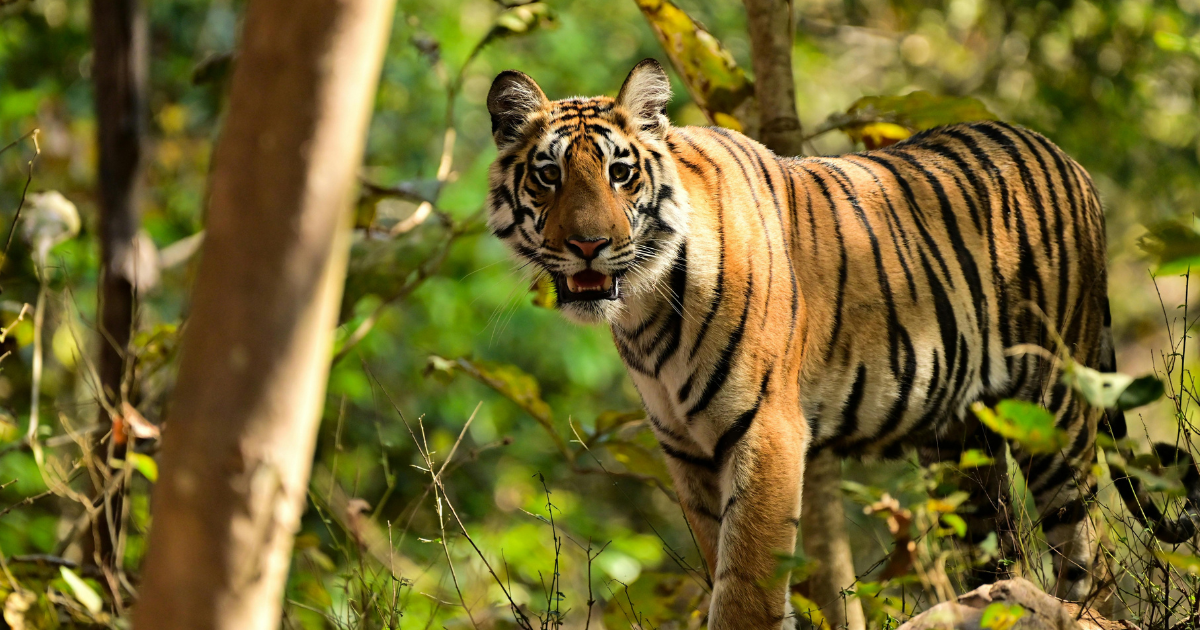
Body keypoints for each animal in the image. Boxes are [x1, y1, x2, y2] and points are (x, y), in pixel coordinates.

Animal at [484, 58, 1200, 629]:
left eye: (621, 172)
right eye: (548, 175)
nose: (588, 244)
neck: (645, 307)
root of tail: (1070, 161)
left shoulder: (766, 429)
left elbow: (746, 584)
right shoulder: (685, 448)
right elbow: (723, 563)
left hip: (1053, 413)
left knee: (1088, 558)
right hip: (961, 445)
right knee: (999, 554)